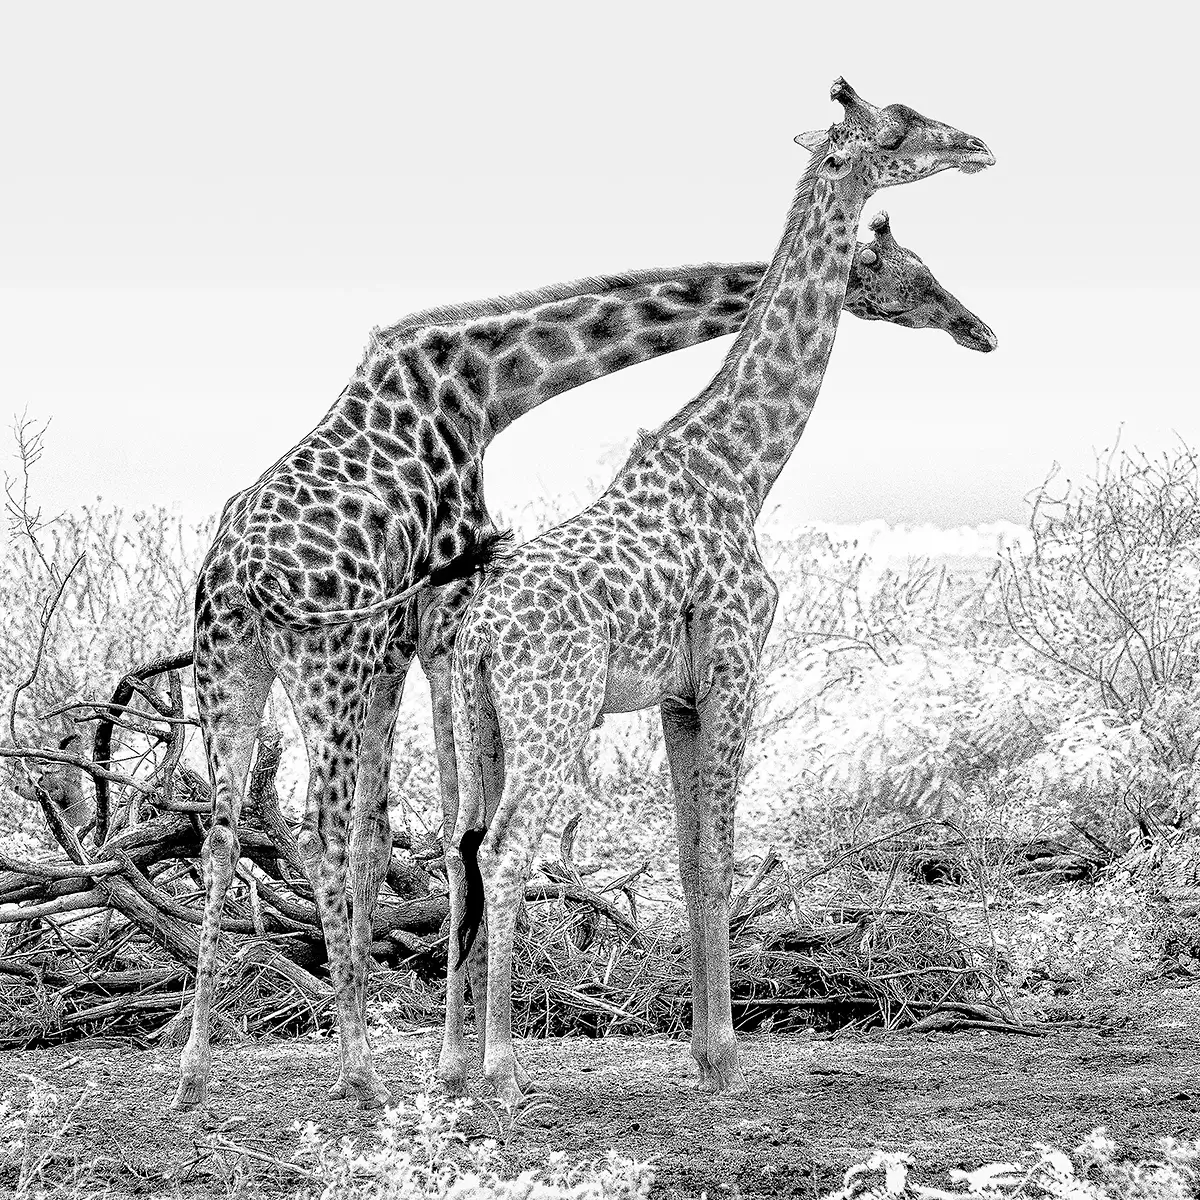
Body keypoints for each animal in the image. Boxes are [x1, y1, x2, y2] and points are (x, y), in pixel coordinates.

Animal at [170, 238, 991, 1113]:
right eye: (911, 273)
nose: (973, 328)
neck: (485, 384)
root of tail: (244, 576)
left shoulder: (408, 640)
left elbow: (397, 831)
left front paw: (449, 1057)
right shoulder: (439, 613)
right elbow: (430, 832)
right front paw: (446, 1060)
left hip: (232, 670)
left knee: (223, 831)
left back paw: (195, 1074)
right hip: (333, 668)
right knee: (326, 830)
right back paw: (361, 1071)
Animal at [441, 78, 995, 1104]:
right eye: (899, 128)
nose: (978, 145)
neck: (742, 467)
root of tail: (482, 633)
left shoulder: (678, 694)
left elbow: (693, 854)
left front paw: (704, 1051)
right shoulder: (738, 662)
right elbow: (721, 852)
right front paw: (727, 1055)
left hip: (477, 718)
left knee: (458, 848)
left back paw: (452, 1065)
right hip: (555, 708)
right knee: (503, 846)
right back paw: (503, 1070)